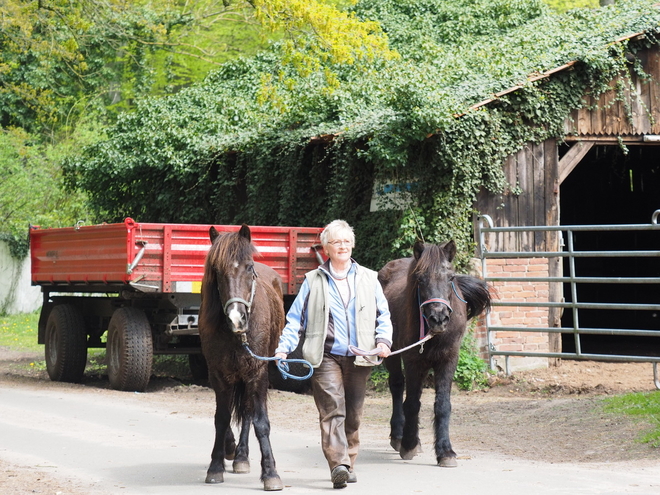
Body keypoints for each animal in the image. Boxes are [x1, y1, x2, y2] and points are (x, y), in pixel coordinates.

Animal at [199, 226, 286, 492]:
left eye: (249, 267)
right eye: (217, 271)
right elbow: (221, 418)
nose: (236, 318)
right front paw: (216, 466)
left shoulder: (256, 373)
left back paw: (241, 457)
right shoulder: (217, 373)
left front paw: (271, 473)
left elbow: (260, 421)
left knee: (248, 412)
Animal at [378, 240, 492, 468]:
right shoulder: (413, 361)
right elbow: (412, 403)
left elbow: (442, 406)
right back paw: (398, 436)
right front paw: (409, 445)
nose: (438, 318)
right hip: (392, 354)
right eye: (420, 279)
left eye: (451, 277)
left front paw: (445, 451)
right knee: (397, 387)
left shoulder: (448, 360)